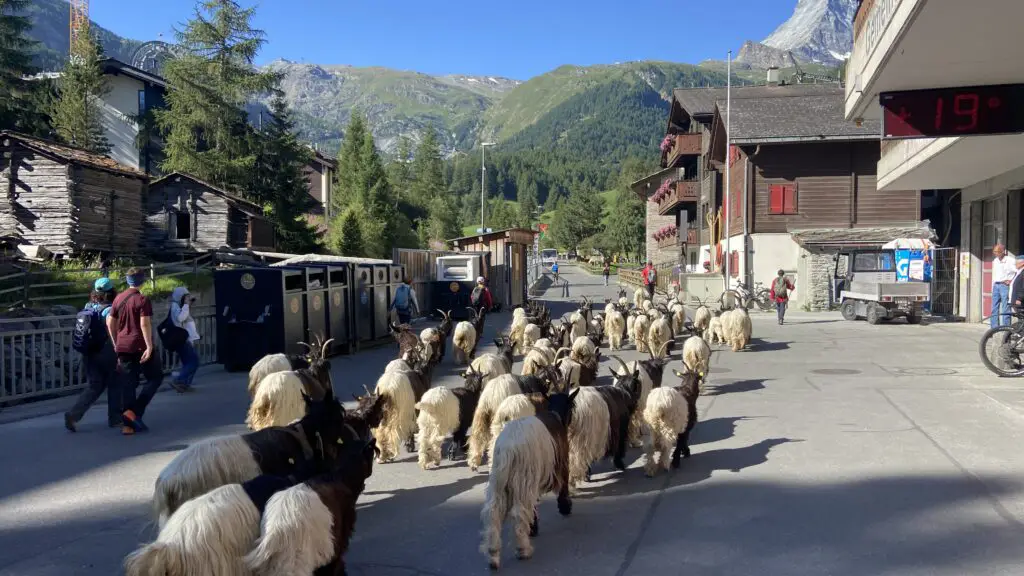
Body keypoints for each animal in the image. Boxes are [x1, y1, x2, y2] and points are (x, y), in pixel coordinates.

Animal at [479, 389, 577, 569]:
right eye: (572, 407)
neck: (555, 415)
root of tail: (508, 448)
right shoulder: (562, 463)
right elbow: (563, 486)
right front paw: (565, 508)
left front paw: (533, 527)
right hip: (523, 478)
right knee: (519, 511)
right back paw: (523, 550)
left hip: (498, 479)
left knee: (493, 511)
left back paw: (493, 555)